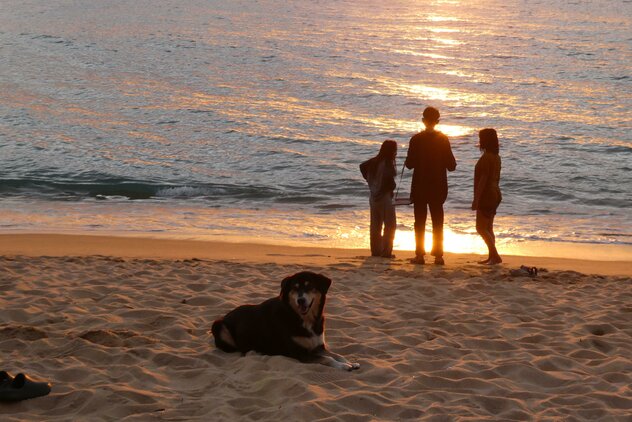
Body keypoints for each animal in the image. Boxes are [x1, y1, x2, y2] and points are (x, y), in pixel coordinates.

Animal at [212, 272, 360, 370]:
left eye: (309, 286)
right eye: (295, 288)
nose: (301, 300)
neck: (302, 318)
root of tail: (226, 315)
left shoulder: (318, 347)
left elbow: (336, 354)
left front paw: (350, 362)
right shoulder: (300, 353)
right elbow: (328, 358)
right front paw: (343, 366)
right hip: (218, 325)